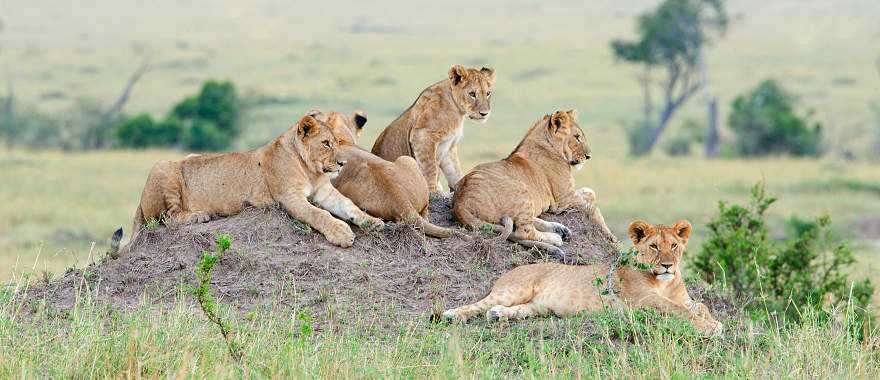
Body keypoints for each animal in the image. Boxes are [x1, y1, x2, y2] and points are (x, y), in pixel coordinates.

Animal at [117, 113, 382, 249]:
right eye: (326, 143)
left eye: (338, 142)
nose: (342, 163)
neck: (311, 170)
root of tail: (139, 202)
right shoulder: (290, 197)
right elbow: (319, 214)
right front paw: (341, 233)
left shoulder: (324, 192)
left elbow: (349, 206)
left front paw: (372, 222)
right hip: (162, 167)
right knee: (167, 218)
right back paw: (199, 215)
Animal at [440, 220, 720, 336]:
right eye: (653, 247)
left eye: (674, 246)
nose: (667, 265)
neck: (666, 283)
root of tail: (511, 270)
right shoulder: (642, 300)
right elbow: (679, 310)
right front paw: (710, 327)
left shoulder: (683, 298)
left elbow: (699, 306)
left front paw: (712, 321)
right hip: (513, 290)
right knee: (478, 305)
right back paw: (452, 315)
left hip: (536, 307)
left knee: (507, 310)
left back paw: (498, 315)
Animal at [450, 110, 616, 258]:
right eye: (577, 137)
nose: (588, 156)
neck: (550, 146)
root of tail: (460, 202)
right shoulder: (564, 199)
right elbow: (594, 208)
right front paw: (611, 237)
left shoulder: (568, 195)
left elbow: (590, 192)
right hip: (521, 190)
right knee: (522, 232)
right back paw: (556, 238)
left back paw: (559, 229)